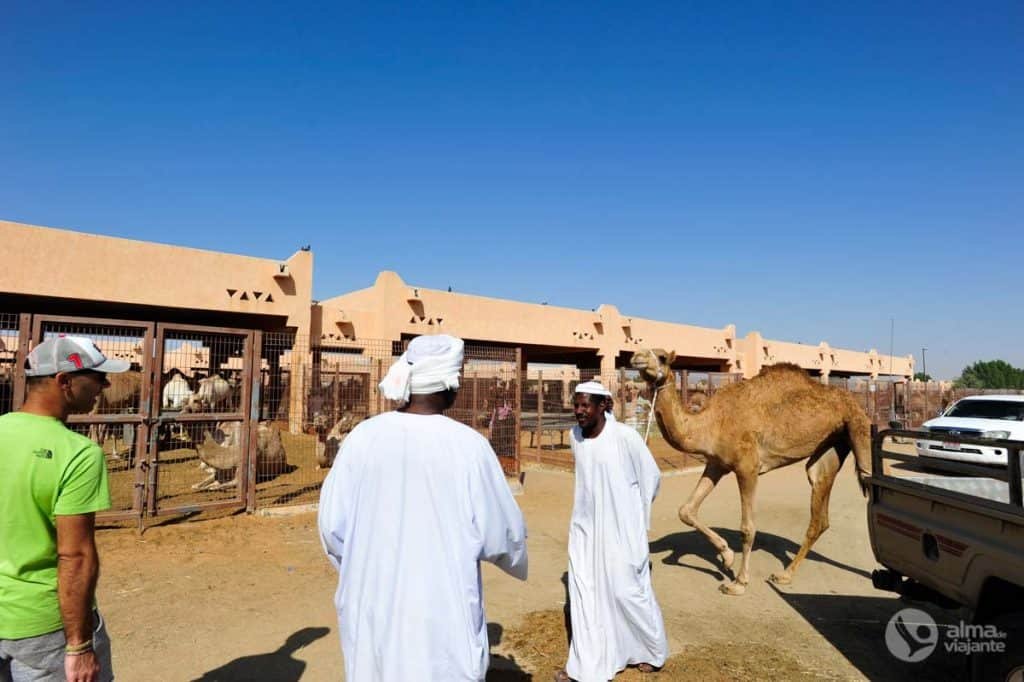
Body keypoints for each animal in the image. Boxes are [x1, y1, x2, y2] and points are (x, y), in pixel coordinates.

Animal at [630, 348, 872, 593]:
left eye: (661, 357)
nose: (636, 356)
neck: (710, 424)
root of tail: (855, 402)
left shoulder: (747, 467)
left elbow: (747, 528)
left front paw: (739, 582)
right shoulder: (716, 464)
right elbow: (686, 510)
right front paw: (726, 556)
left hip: (860, 429)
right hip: (829, 449)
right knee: (819, 513)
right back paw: (785, 575)